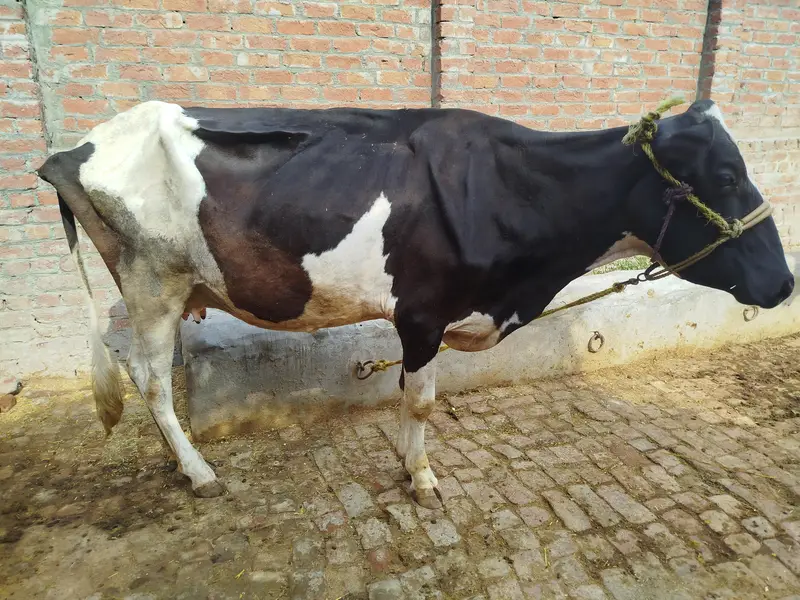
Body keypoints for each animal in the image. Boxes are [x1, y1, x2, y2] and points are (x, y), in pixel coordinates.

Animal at [36, 98, 793, 508]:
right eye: (727, 175)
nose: (786, 283)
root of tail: (76, 147)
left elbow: (407, 394)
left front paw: (408, 464)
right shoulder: (424, 313)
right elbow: (421, 399)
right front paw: (423, 477)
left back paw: (180, 460)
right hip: (151, 282)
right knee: (152, 380)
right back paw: (198, 472)